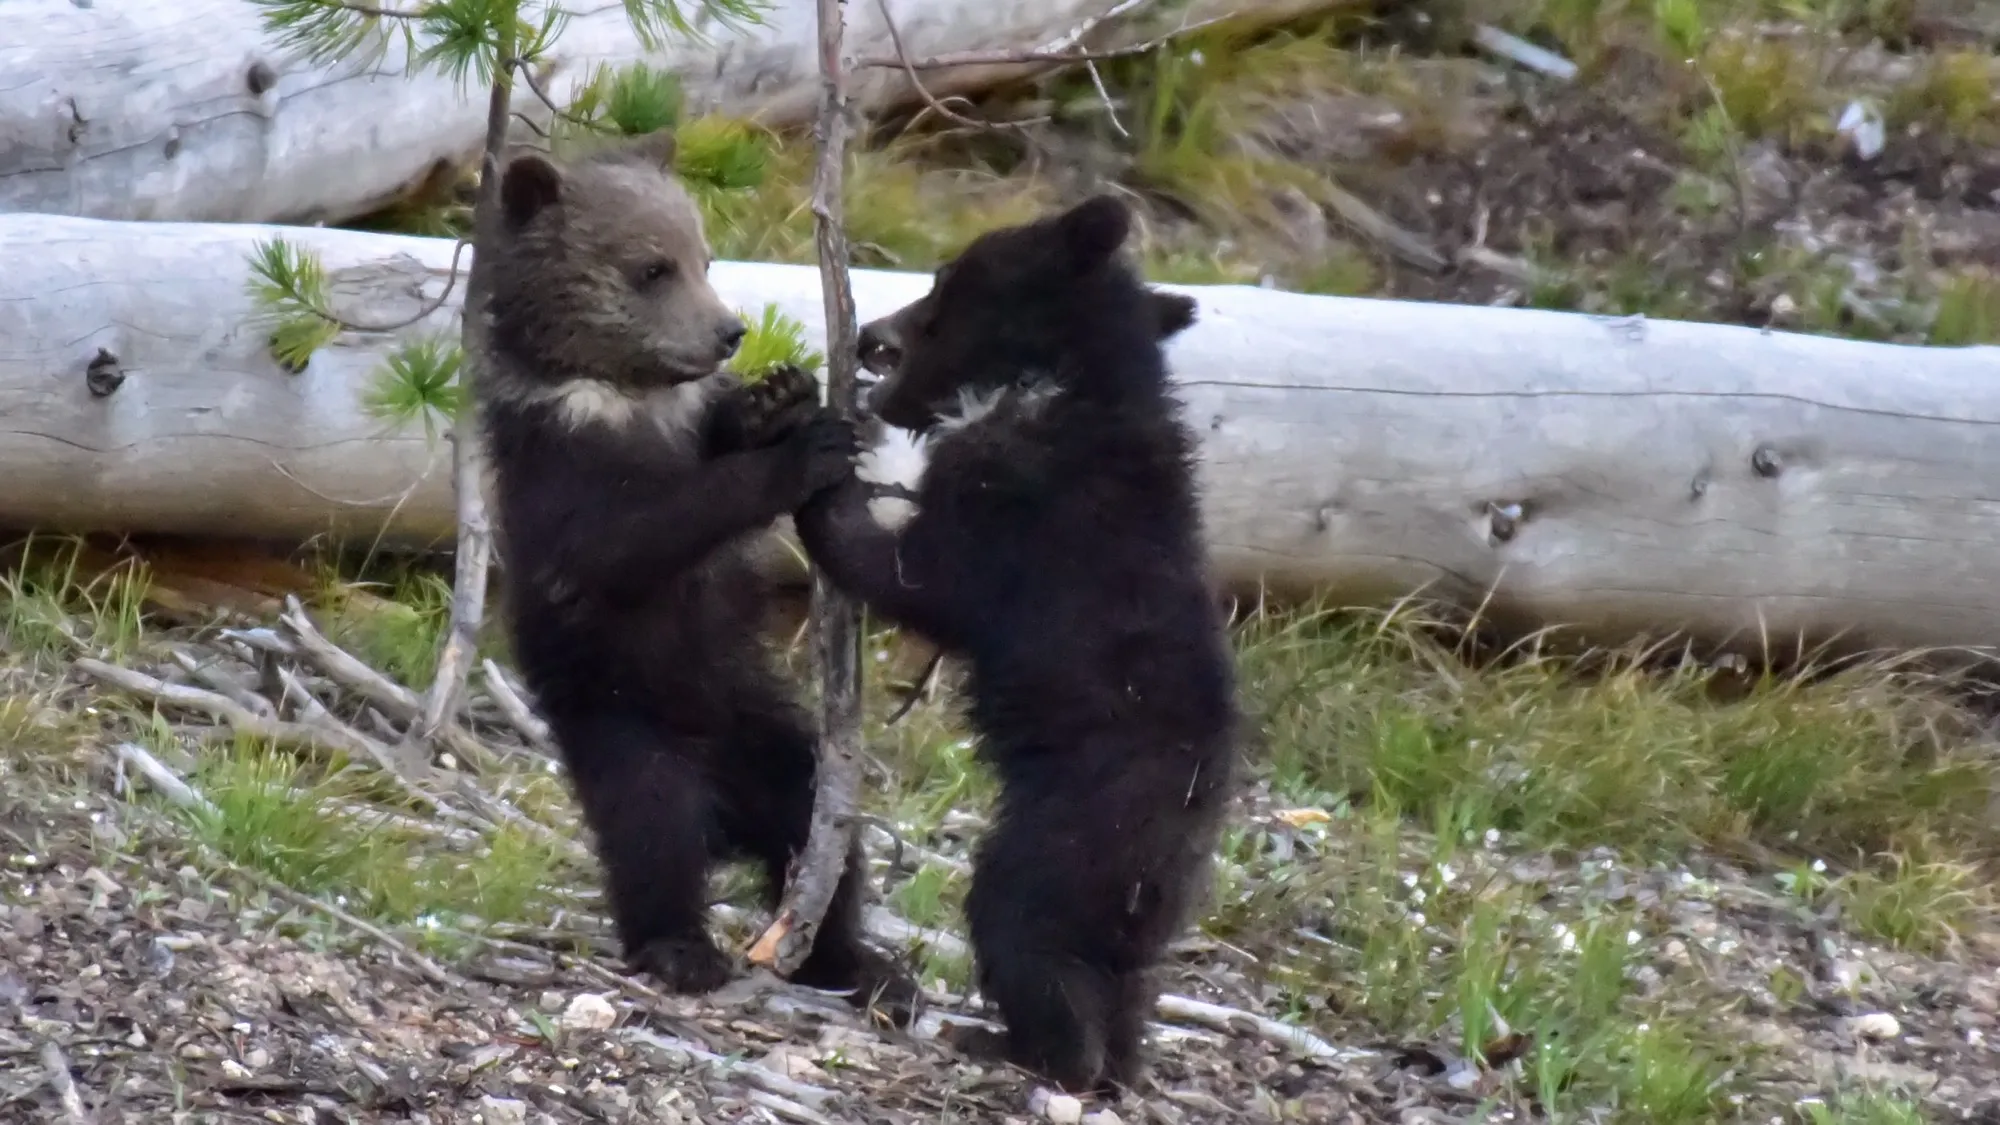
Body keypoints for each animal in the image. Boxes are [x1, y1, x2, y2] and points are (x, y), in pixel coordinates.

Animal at [475, 133, 918, 1025]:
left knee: (812, 818)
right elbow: (639, 535)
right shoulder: (560, 469)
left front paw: (777, 397)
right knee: (655, 831)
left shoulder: (677, 422)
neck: (624, 392)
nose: (729, 330)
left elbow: (718, 438)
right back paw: (681, 947)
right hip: (625, 725)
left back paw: (859, 963)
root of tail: (726, 803)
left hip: (762, 728)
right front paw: (798, 451)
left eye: (704, 255)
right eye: (653, 268)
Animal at [794, 194, 1242, 1094]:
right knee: (1125, 982)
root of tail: (1184, 831)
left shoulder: (1015, 503)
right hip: (1138, 906)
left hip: (1066, 839)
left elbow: (918, 576)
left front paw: (825, 487)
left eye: (942, 279)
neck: (1046, 384)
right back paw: (1116, 1060)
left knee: (1019, 924)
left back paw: (1026, 1046)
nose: (867, 337)